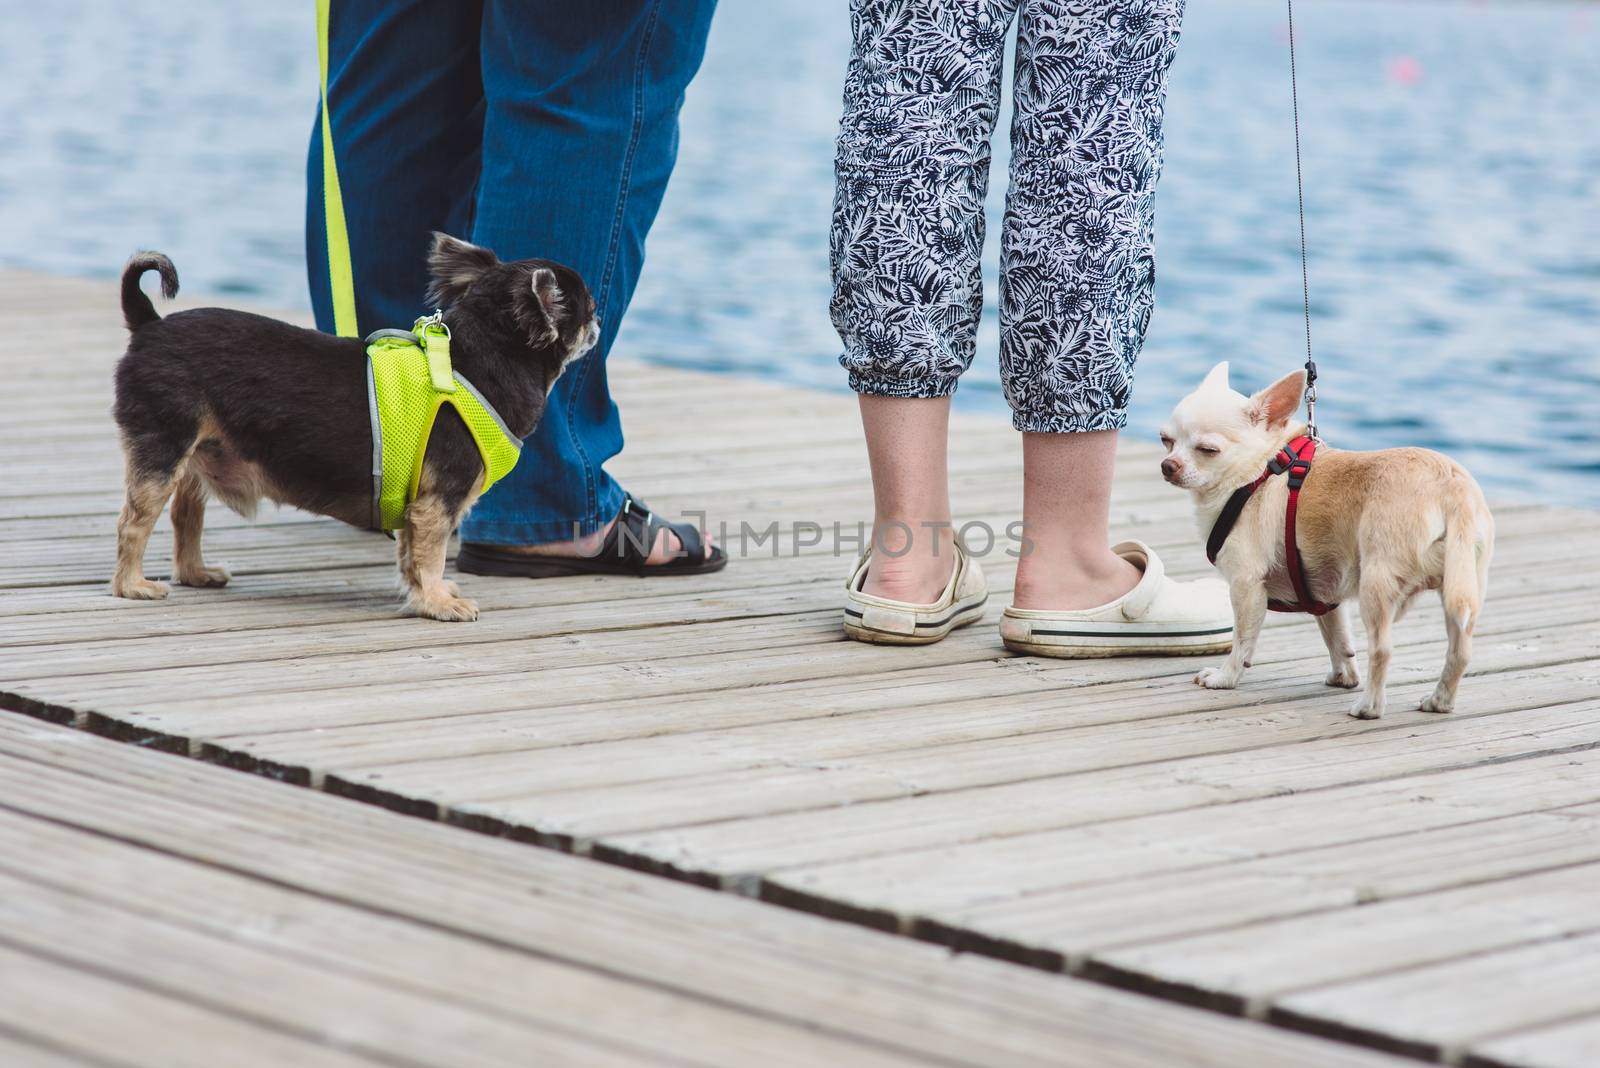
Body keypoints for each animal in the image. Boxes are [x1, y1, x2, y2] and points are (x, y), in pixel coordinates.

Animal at [112, 233, 598, 617]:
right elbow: (432, 554)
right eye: (588, 306)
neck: (473, 363)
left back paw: (196, 573)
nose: (599, 318)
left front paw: (423, 594)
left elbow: (410, 555)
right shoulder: (438, 502)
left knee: (184, 516)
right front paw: (438, 603)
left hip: (197, 455)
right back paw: (133, 586)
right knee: (134, 523)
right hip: (163, 450)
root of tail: (149, 324)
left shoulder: (415, 502)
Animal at [1158, 362, 1491, 722]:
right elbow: (1337, 637)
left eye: (1208, 450)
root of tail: (1451, 487)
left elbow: (1242, 641)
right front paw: (1343, 675)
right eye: (1166, 441)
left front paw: (1224, 677)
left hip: (1377, 583)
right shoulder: (1323, 592)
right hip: (1462, 581)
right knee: (1460, 650)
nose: (1167, 465)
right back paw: (1439, 701)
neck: (1257, 470)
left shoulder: (1247, 586)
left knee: (1382, 649)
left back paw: (1368, 708)